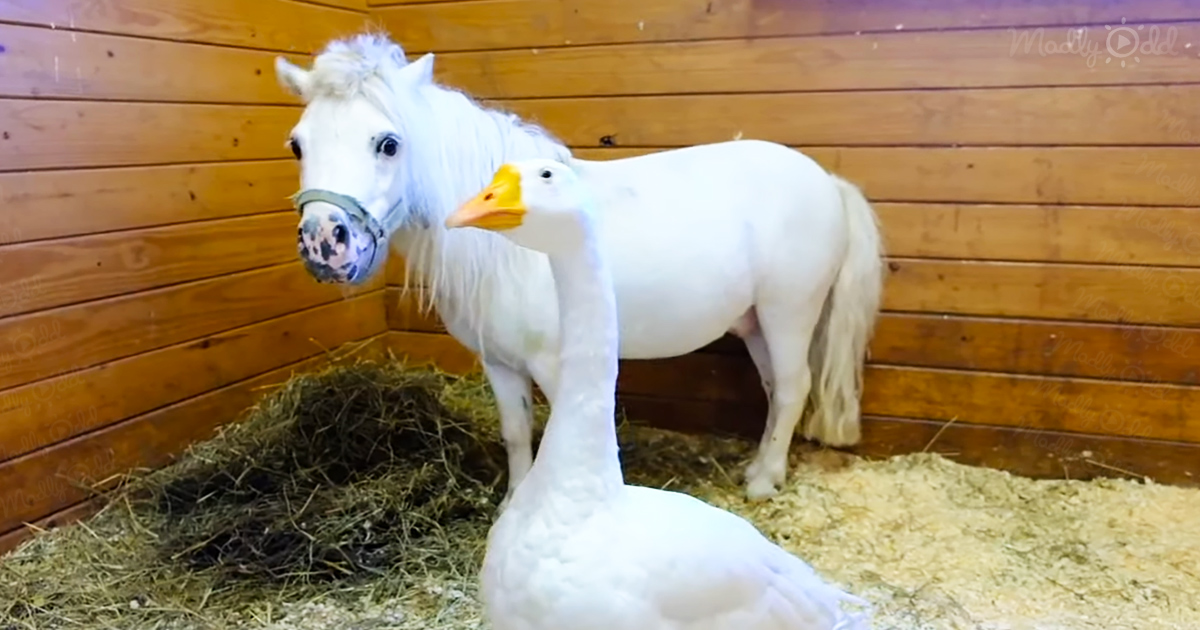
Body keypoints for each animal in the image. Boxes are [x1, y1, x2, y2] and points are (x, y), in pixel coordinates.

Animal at [273, 33, 885, 504]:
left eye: (389, 143)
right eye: (297, 144)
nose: (325, 242)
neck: (512, 244)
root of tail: (827, 180)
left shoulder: (553, 363)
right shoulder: (500, 363)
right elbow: (517, 433)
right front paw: (515, 501)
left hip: (788, 315)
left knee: (793, 387)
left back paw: (763, 482)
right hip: (756, 322)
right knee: (776, 390)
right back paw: (758, 467)